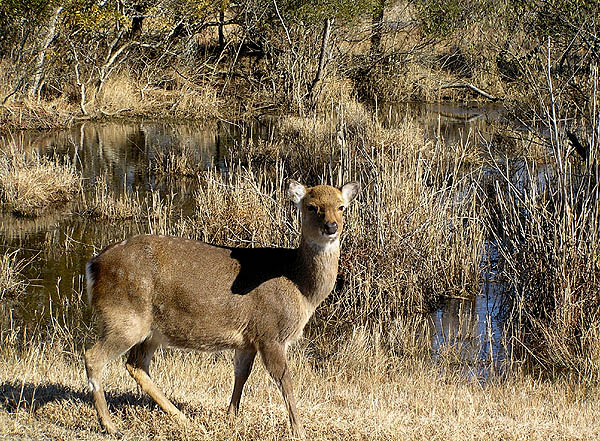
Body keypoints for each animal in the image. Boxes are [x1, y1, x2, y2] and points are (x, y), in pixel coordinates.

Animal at [84, 178, 360, 436]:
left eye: (341, 207)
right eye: (311, 206)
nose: (331, 226)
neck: (300, 287)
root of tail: (93, 265)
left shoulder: (249, 339)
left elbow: (241, 374)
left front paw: (231, 416)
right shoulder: (270, 333)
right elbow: (285, 380)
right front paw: (299, 429)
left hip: (151, 330)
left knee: (136, 365)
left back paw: (181, 417)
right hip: (124, 316)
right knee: (93, 357)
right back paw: (110, 425)